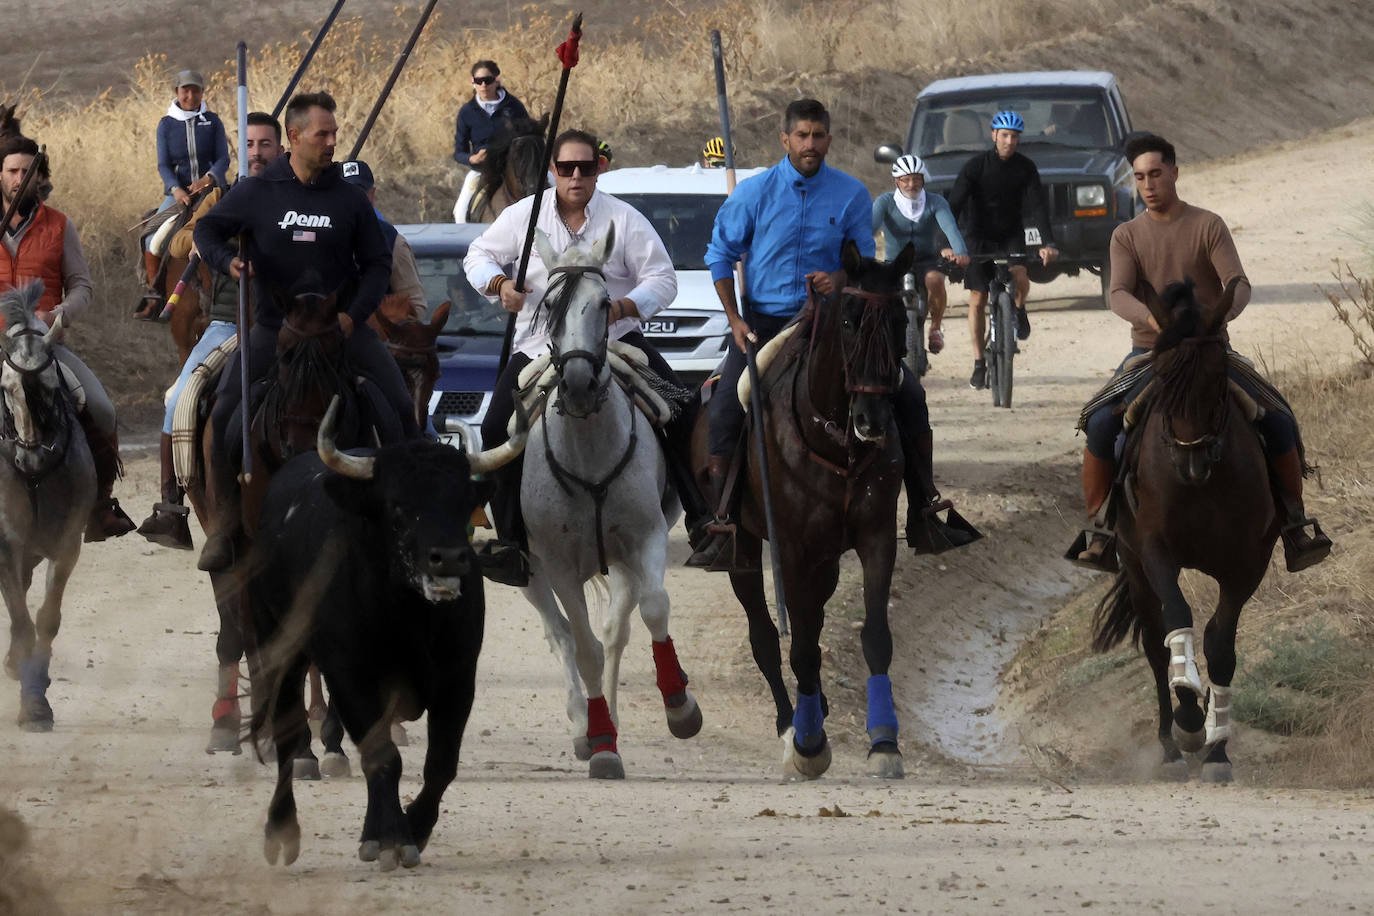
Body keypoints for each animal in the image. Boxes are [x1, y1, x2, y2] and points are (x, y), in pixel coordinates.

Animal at [519, 225, 703, 780]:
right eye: (549, 303)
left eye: (604, 304)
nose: (578, 384)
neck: (588, 452)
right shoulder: (558, 565)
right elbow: (583, 649)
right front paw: (600, 744)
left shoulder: (644, 539)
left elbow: (654, 610)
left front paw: (680, 707)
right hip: (529, 574)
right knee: (561, 635)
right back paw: (585, 727)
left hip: (619, 562)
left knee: (617, 629)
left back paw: (616, 718)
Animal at [692, 241, 917, 780]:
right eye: (849, 322)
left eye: (901, 319)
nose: (872, 420)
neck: (837, 445)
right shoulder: (790, 549)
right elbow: (800, 647)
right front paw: (809, 743)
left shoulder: (876, 536)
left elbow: (875, 636)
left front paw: (885, 743)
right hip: (746, 551)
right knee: (767, 636)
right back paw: (789, 721)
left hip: (825, 557)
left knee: (811, 616)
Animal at [1088, 276, 1269, 785]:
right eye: (1165, 379)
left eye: (1216, 377)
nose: (1191, 460)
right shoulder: (1155, 551)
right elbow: (1177, 618)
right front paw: (1190, 720)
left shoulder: (1247, 563)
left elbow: (1221, 644)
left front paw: (1217, 746)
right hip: (1132, 565)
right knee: (1153, 645)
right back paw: (1170, 748)